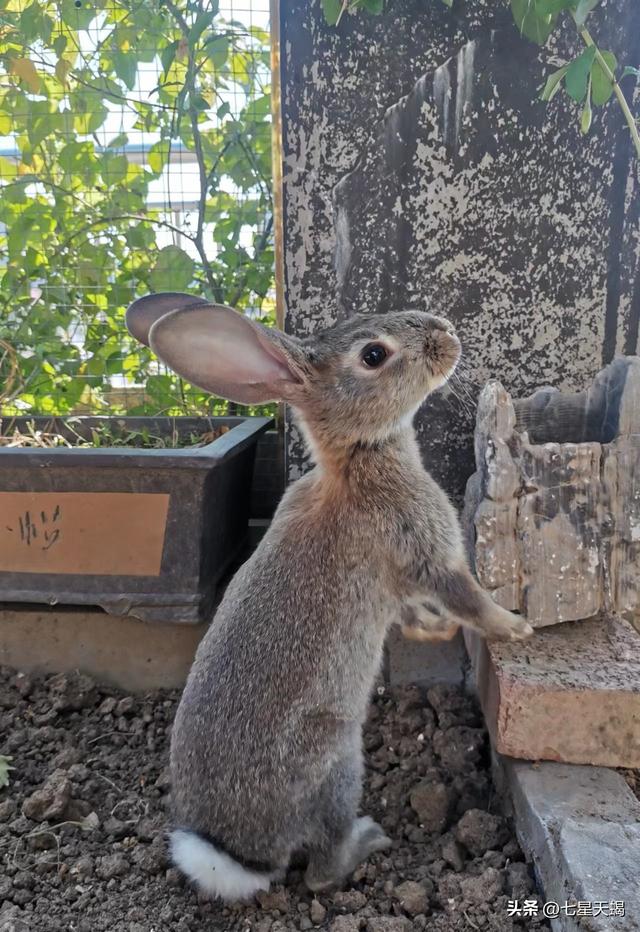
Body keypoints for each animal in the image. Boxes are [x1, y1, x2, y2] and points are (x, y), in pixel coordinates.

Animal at [124, 294, 528, 904]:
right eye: (373, 355)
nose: (446, 333)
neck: (360, 454)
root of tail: (235, 855)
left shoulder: (396, 585)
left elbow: (413, 612)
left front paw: (437, 631)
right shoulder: (425, 547)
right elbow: (465, 596)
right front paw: (517, 626)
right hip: (336, 761)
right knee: (320, 868)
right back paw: (367, 841)